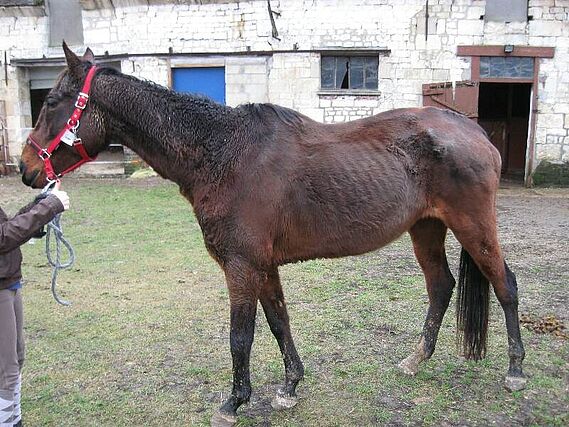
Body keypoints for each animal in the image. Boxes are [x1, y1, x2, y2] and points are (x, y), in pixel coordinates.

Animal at [18, 44, 524, 427]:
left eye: (50, 103)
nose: (25, 169)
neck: (222, 153)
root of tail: (473, 131)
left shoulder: (241, 266)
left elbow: (240, 336)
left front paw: (233, 402)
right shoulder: (263, 266)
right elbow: (279, 322)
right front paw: (290, 386)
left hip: (474, 226)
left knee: (505, 286)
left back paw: (516, 370)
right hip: (427, 228)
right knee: (441, 287)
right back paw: (416, 359)